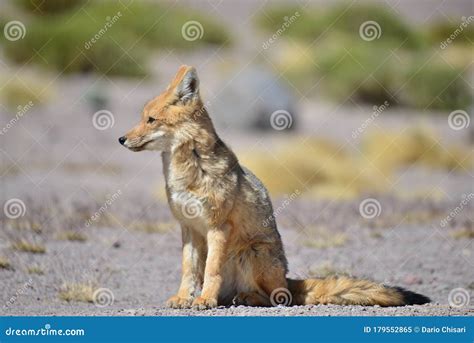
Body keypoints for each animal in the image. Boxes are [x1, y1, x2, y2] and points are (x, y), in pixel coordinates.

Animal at [118, 66, 430, 310]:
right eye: (141, 118)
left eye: (150, 120)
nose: (121, 139)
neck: (187, 173)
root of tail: (287, 279)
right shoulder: (189, 229)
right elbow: (189, 270)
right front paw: (184, 298)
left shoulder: (218, 226)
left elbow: (211, 271)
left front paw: (204, 299)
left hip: (252, 253)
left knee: (278, 299)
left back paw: (244, 298)